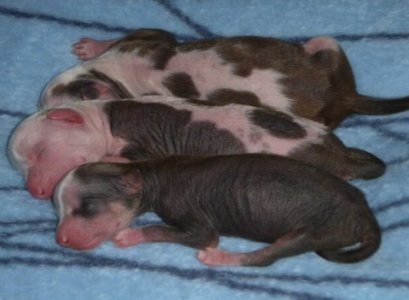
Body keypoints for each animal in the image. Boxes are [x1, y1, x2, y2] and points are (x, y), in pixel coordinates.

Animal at [7, 96, 384, 199]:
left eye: (39, 151)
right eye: (20, 167)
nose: (36, 190)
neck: (102, 116)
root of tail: (338, 154)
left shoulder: (141, 140)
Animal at [39, 28, 408, 130]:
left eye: (48, 106)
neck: (114, 75)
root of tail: (342, 95)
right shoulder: (145, 38)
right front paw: (91, 46)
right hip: (326, 46)